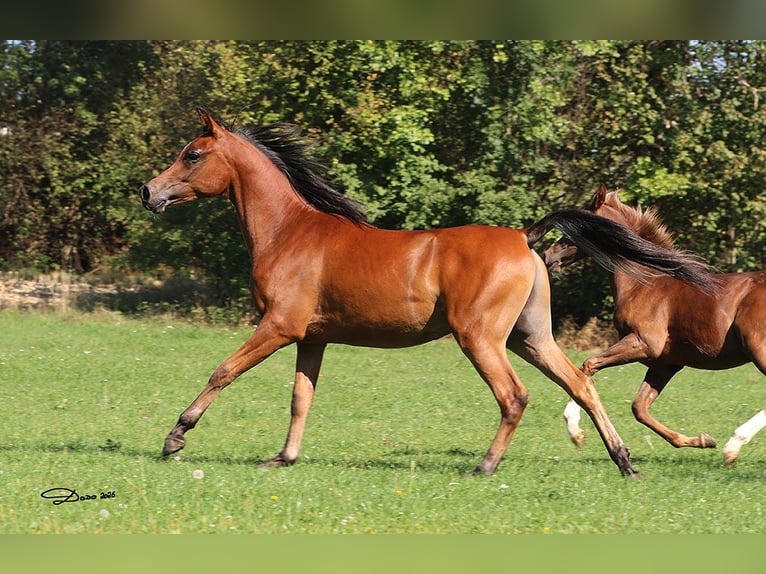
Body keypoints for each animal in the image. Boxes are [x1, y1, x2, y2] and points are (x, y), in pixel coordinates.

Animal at [138, 108, 713, 476]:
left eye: (193, 155)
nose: (148, 191)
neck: (289, 232)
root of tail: (524, 237)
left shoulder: (277, 326)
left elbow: (223, 371)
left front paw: (175, 437)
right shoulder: (312, 337)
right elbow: (302, 398)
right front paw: (283, 458)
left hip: (480, 338)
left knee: (514, 396)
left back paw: (486, 465)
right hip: (530, 337)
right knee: (581, 384)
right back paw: (625, 461)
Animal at [544, 184, 766, 465]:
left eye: (580, 225)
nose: (548, 255)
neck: (645, 282)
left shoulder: (643, 343)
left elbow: (587, 366)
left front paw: (575, 431)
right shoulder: (665, 363)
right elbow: (639, 408)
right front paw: (702, 440)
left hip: (759, 349)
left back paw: (733, 446)